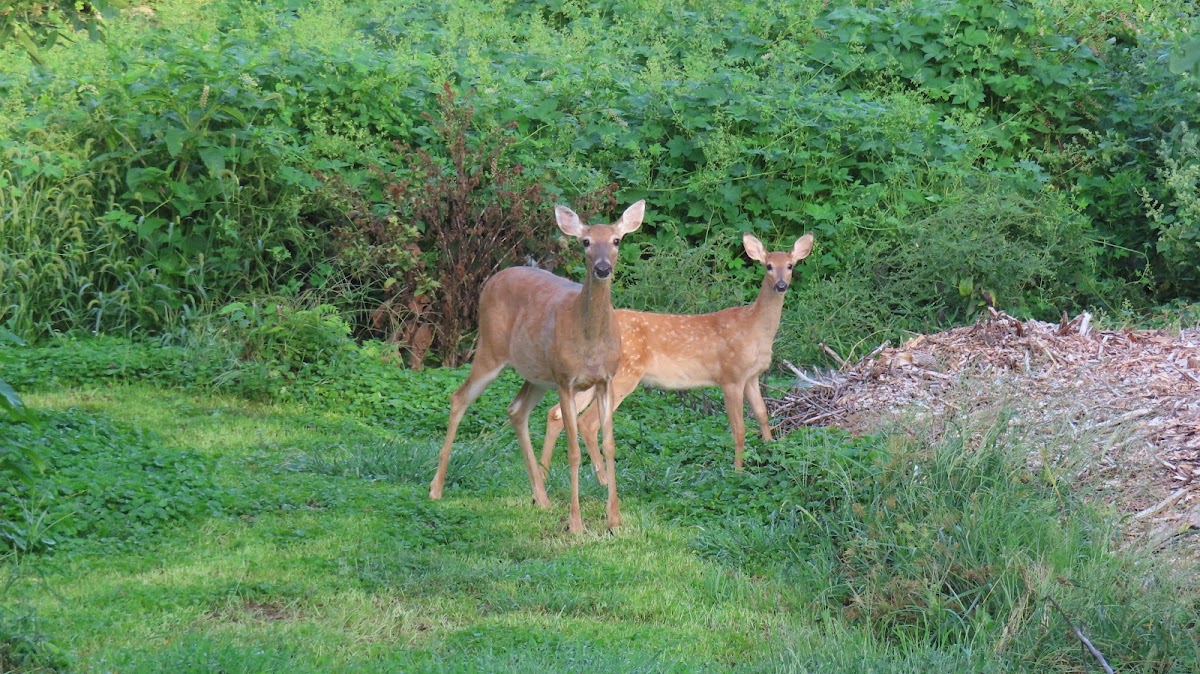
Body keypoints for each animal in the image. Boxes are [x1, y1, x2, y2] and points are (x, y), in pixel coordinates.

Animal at [427, 197, 643, 530]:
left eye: (617, 240)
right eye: (585, 242)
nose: (603, 268)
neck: (590, 342)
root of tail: (493, 279)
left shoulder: (605, 379)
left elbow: (609, 445)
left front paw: (615, 520)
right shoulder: (566, 379)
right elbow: (573, 451)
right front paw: (576, 524)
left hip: (538, 375)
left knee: (516, 410)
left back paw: (540, 497)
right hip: (490, 349)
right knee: (459, 397)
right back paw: (436, 488)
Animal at [544, 230, 816, 477]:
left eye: (790, 265)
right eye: (768, 266)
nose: (781, 285)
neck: (754, 329)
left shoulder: (752, 376)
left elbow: (762, 414)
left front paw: (772, 449)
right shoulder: (731, 376)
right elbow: (738, 428)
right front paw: (738, 470)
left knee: (557, 413)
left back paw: (546, 473)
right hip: (623, 375)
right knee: (588, 422)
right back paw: (602, 476)